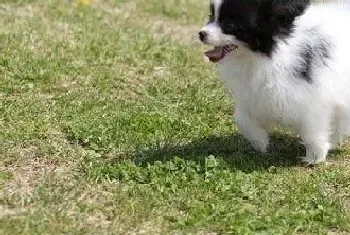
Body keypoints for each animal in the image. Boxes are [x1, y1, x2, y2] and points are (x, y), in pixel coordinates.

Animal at [198, 0, 350, 164]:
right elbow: (242, 119)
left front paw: (315, 156)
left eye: (228, 24)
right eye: (211, 16)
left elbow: (313, 129)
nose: (201, 34)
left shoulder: (314, 98)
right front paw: (260, 141)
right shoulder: (255, 94)